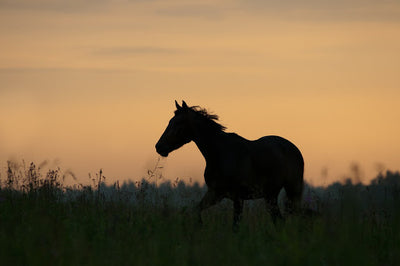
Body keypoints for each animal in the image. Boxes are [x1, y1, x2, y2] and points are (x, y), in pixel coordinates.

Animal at [155, 101, 304, 230]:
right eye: (170, 122)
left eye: (178, 123)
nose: (159, 147)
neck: (220, 154)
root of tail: (293, 148)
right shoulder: (215, 193)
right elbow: (196, 210)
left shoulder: (238, 198)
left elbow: (235, 226)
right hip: (270, 195)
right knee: (278, 220)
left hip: (291, 190)